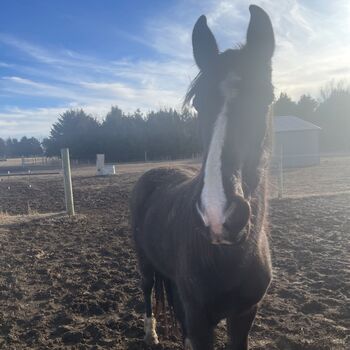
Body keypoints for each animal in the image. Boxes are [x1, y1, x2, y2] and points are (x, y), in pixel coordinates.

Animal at [130, 5, 274, 350]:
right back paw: (150, 333)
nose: (217, 215)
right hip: (145, 261)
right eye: (198, 104)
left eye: (267, 98)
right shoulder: (199, 319)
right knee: (147, 289)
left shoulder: (244, 315)